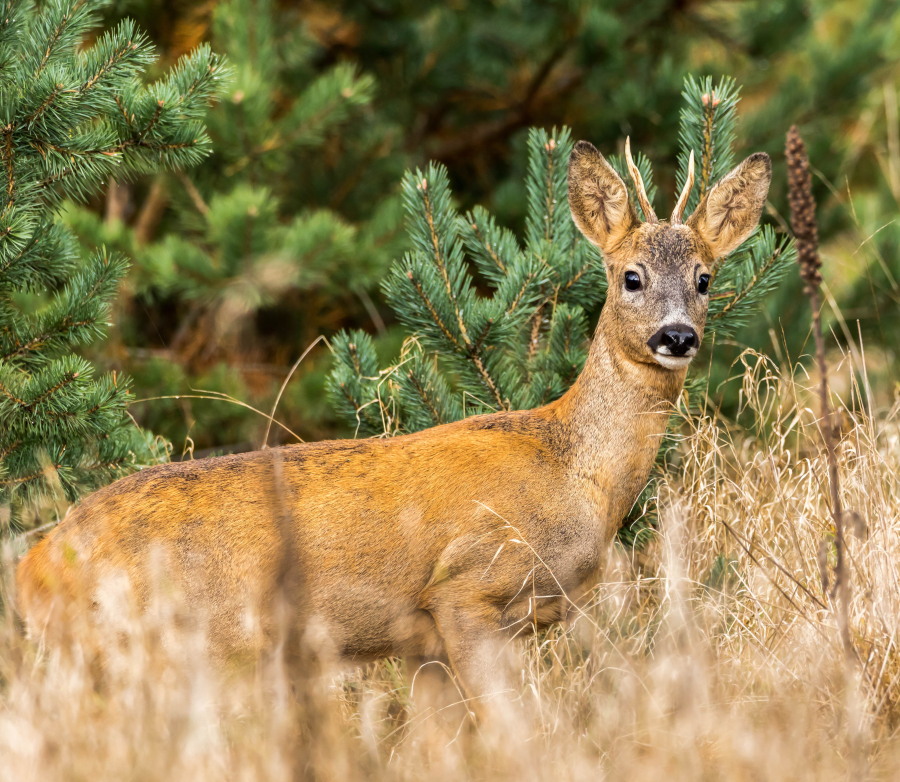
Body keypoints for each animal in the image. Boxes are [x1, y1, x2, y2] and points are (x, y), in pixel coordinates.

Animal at [17, 139, 768, 712]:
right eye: (631, 276)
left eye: (704, 278)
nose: (677, 336)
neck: (576, 472)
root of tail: (36, 564)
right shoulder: (466, 588)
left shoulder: (422, 644)